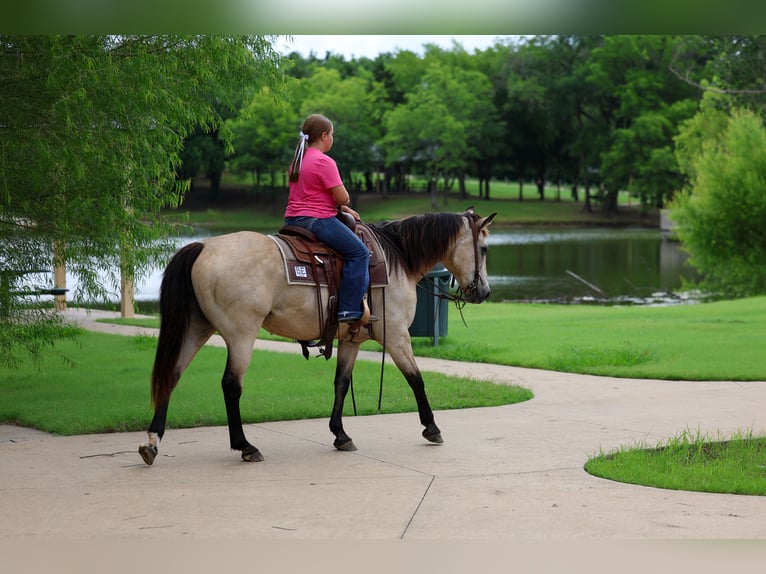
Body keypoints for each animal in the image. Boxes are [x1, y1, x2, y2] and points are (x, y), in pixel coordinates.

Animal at [138, 207, 496, 465]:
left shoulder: (352, 338)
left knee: (172, 374)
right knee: (230, 385)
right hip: (241, 334)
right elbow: (416, 379)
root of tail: (203, 246)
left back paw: (152, 442)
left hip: (197, 328)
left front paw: (340, 435)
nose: (484, 292)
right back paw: (245, 446)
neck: (398, 258)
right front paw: (431, 427)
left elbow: (341, 383)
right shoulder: (395, 335)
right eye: (483, 248)